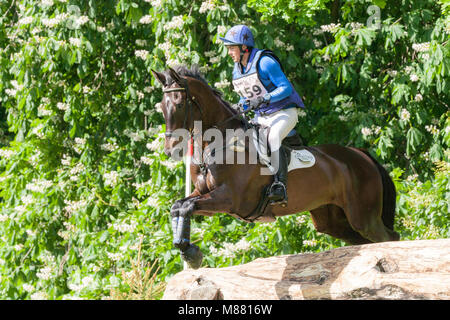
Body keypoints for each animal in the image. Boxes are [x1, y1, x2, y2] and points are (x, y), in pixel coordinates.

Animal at [152, 65, 400, 270]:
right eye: (162, 107)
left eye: (180, 104)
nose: (170, 149)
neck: (218, 142)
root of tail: (361, 155)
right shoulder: (204, 193)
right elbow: (179, 206)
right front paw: (189, 251)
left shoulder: (230, 198)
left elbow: (186, 206)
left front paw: (191, 254)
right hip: (333, 220)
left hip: (363, 217)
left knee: (390, 237)